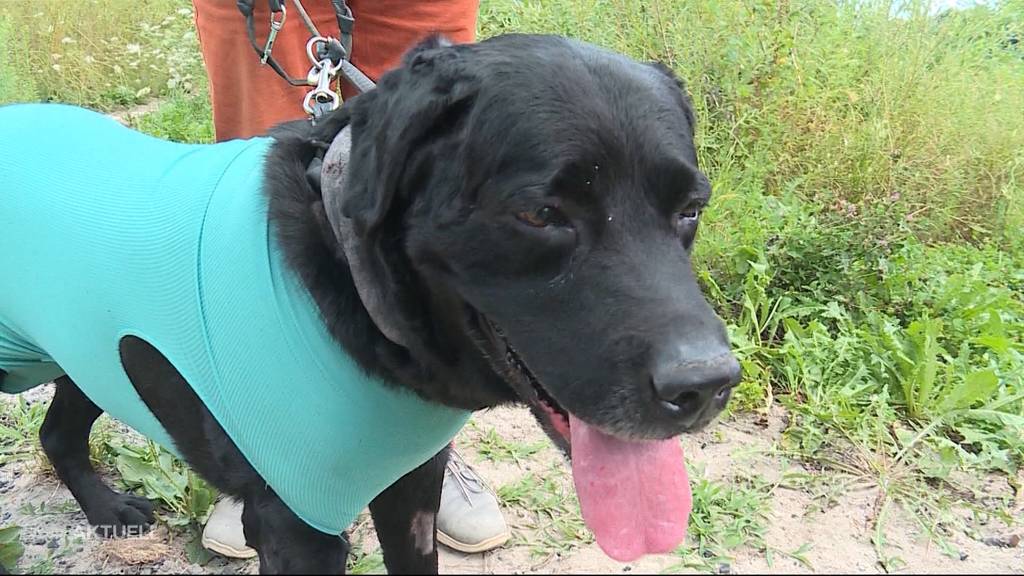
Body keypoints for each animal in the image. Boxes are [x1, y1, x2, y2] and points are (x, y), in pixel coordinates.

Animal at [0, 33, 741, 569]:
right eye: (540, 213)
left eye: (691, 208)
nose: (705, 386)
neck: (348, 288)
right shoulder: (296, 525)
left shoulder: (411, 490)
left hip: (84, 349)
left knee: (56, 431)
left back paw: (106, 512)